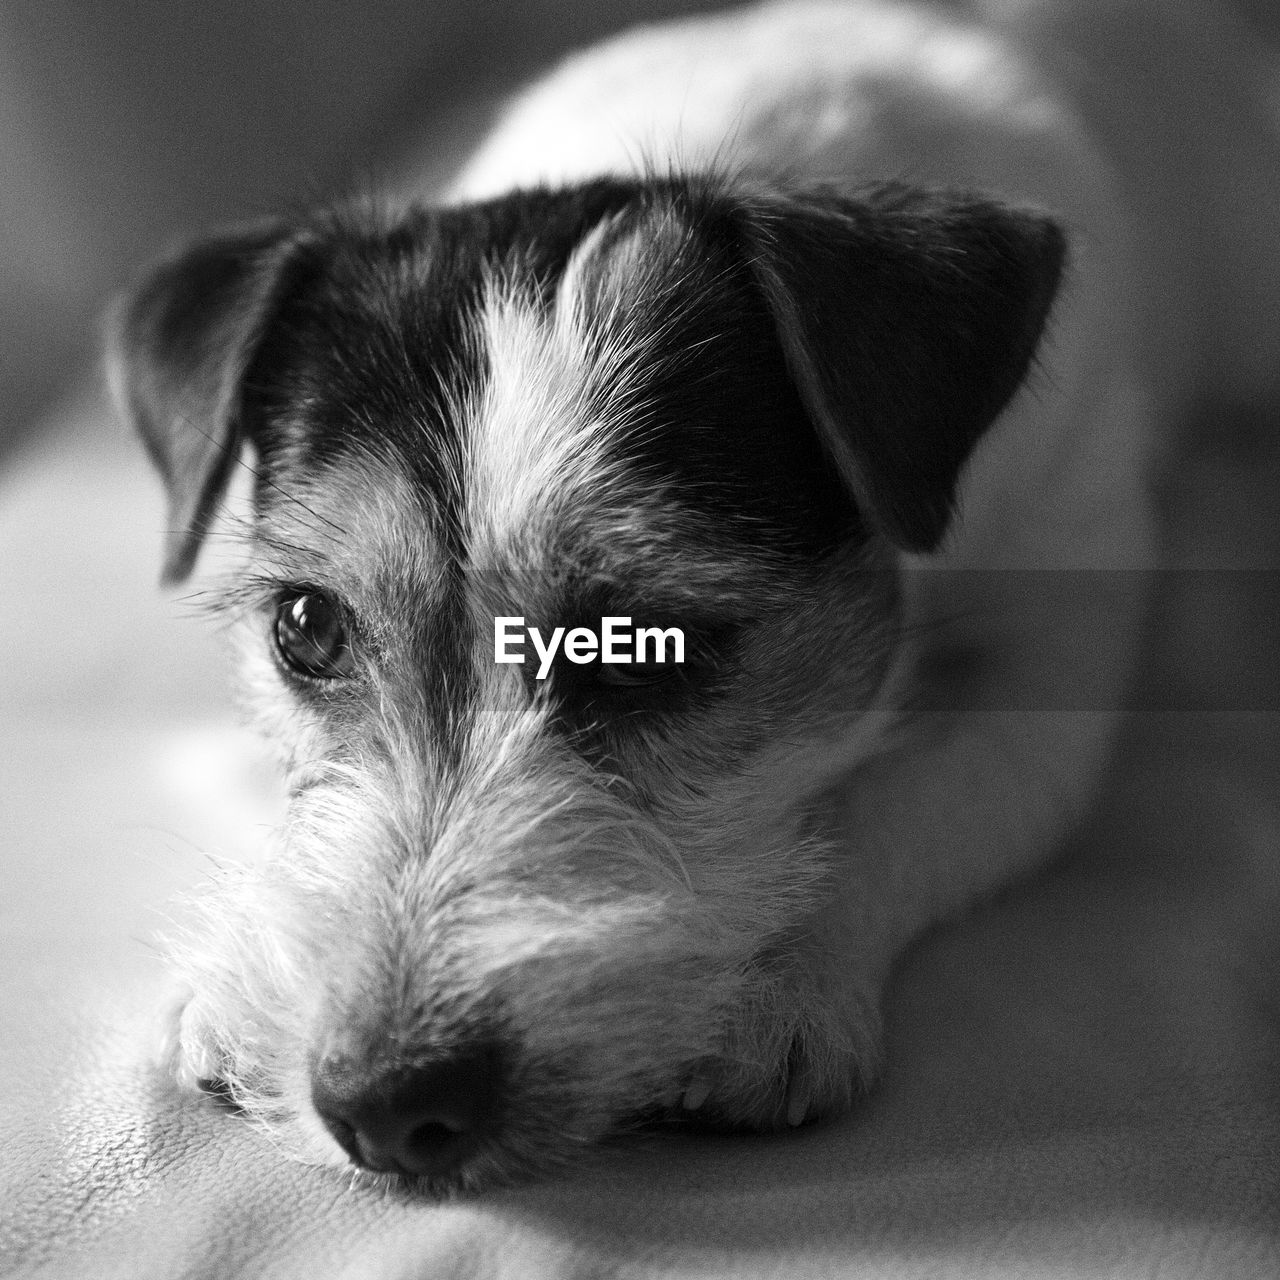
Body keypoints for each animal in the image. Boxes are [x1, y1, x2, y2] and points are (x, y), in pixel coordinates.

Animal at [107, 0, 1280, 1187]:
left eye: (642, 640)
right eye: (306, 627)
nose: (388, 1108)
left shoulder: (1049, 658)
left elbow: (889, 798)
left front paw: (775, 980)